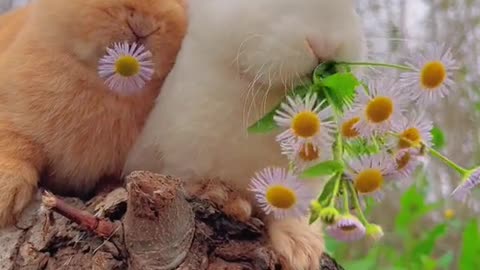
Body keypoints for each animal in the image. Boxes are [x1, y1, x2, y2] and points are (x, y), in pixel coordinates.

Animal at [124, 1, 368, 268]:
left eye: (353, 8)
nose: (327, 45)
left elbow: (291, 206)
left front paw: (301, 251)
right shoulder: (183, 158)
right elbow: (198, 184)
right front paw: (227, 200)